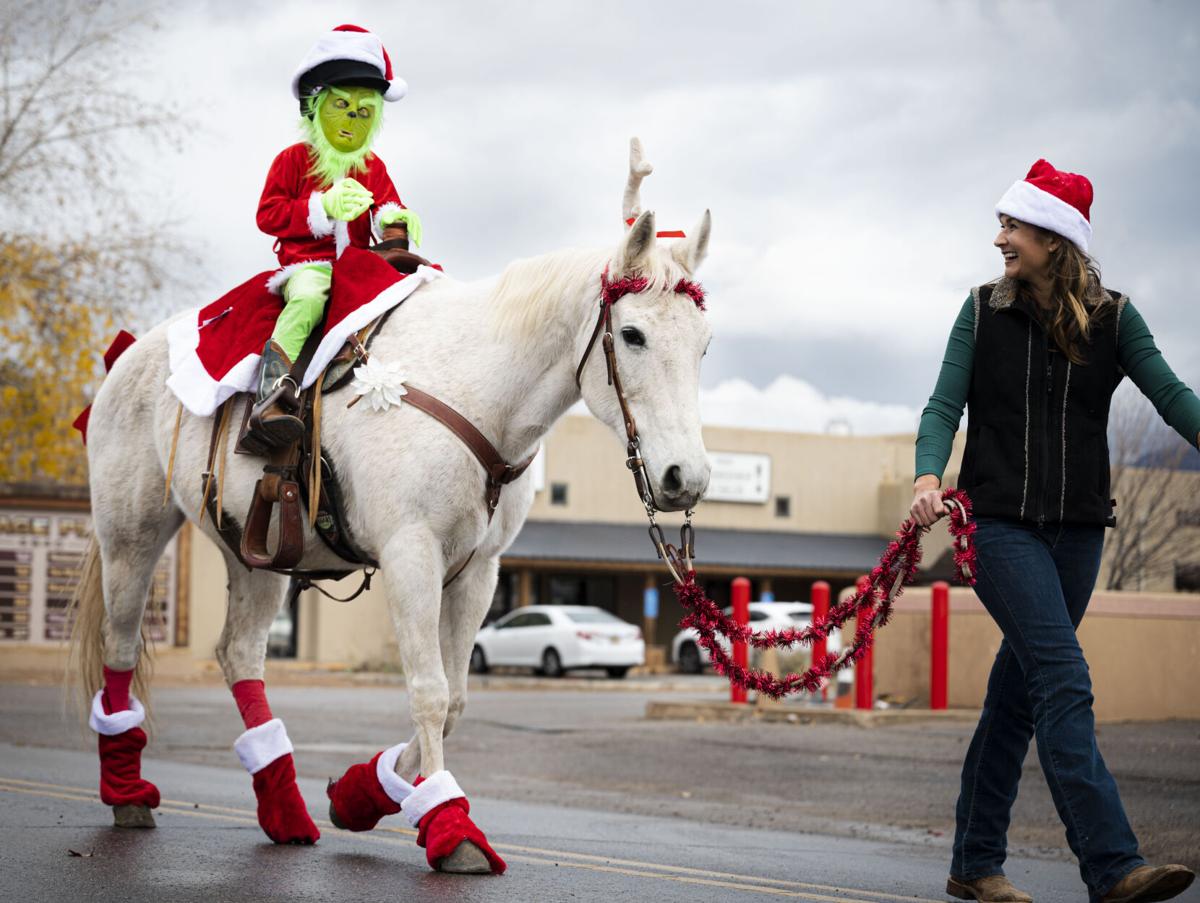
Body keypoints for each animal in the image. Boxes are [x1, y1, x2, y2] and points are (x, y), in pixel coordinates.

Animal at [70, 144, 710, 869]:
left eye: (704, 344)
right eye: (631, 334)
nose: (685, 477)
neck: (473, 385)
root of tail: (127, 359)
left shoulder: (478, 570)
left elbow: (456, 698)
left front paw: (363, 792)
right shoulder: (411, 554)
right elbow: (429, 692)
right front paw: (451, 827)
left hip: (256, 553)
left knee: (239, 655)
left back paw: (284, 808)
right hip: (132, 534)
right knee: (121, 643)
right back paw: (126, 792)